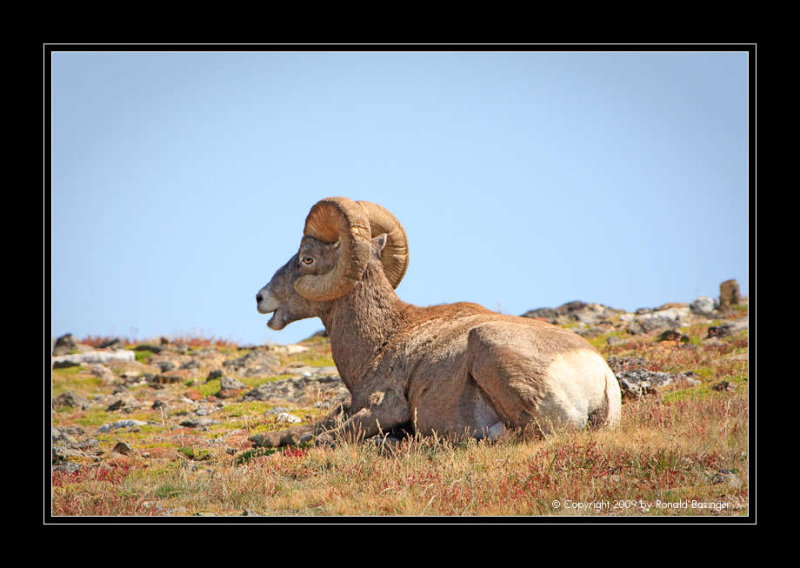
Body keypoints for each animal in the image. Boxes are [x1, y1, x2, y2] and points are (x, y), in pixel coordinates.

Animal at [253, 197, 620, 446]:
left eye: (307, 259)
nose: (260, 297)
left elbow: (326, 436)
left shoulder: (388, 407)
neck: (382, 338)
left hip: (487, 347)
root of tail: (597, 375)